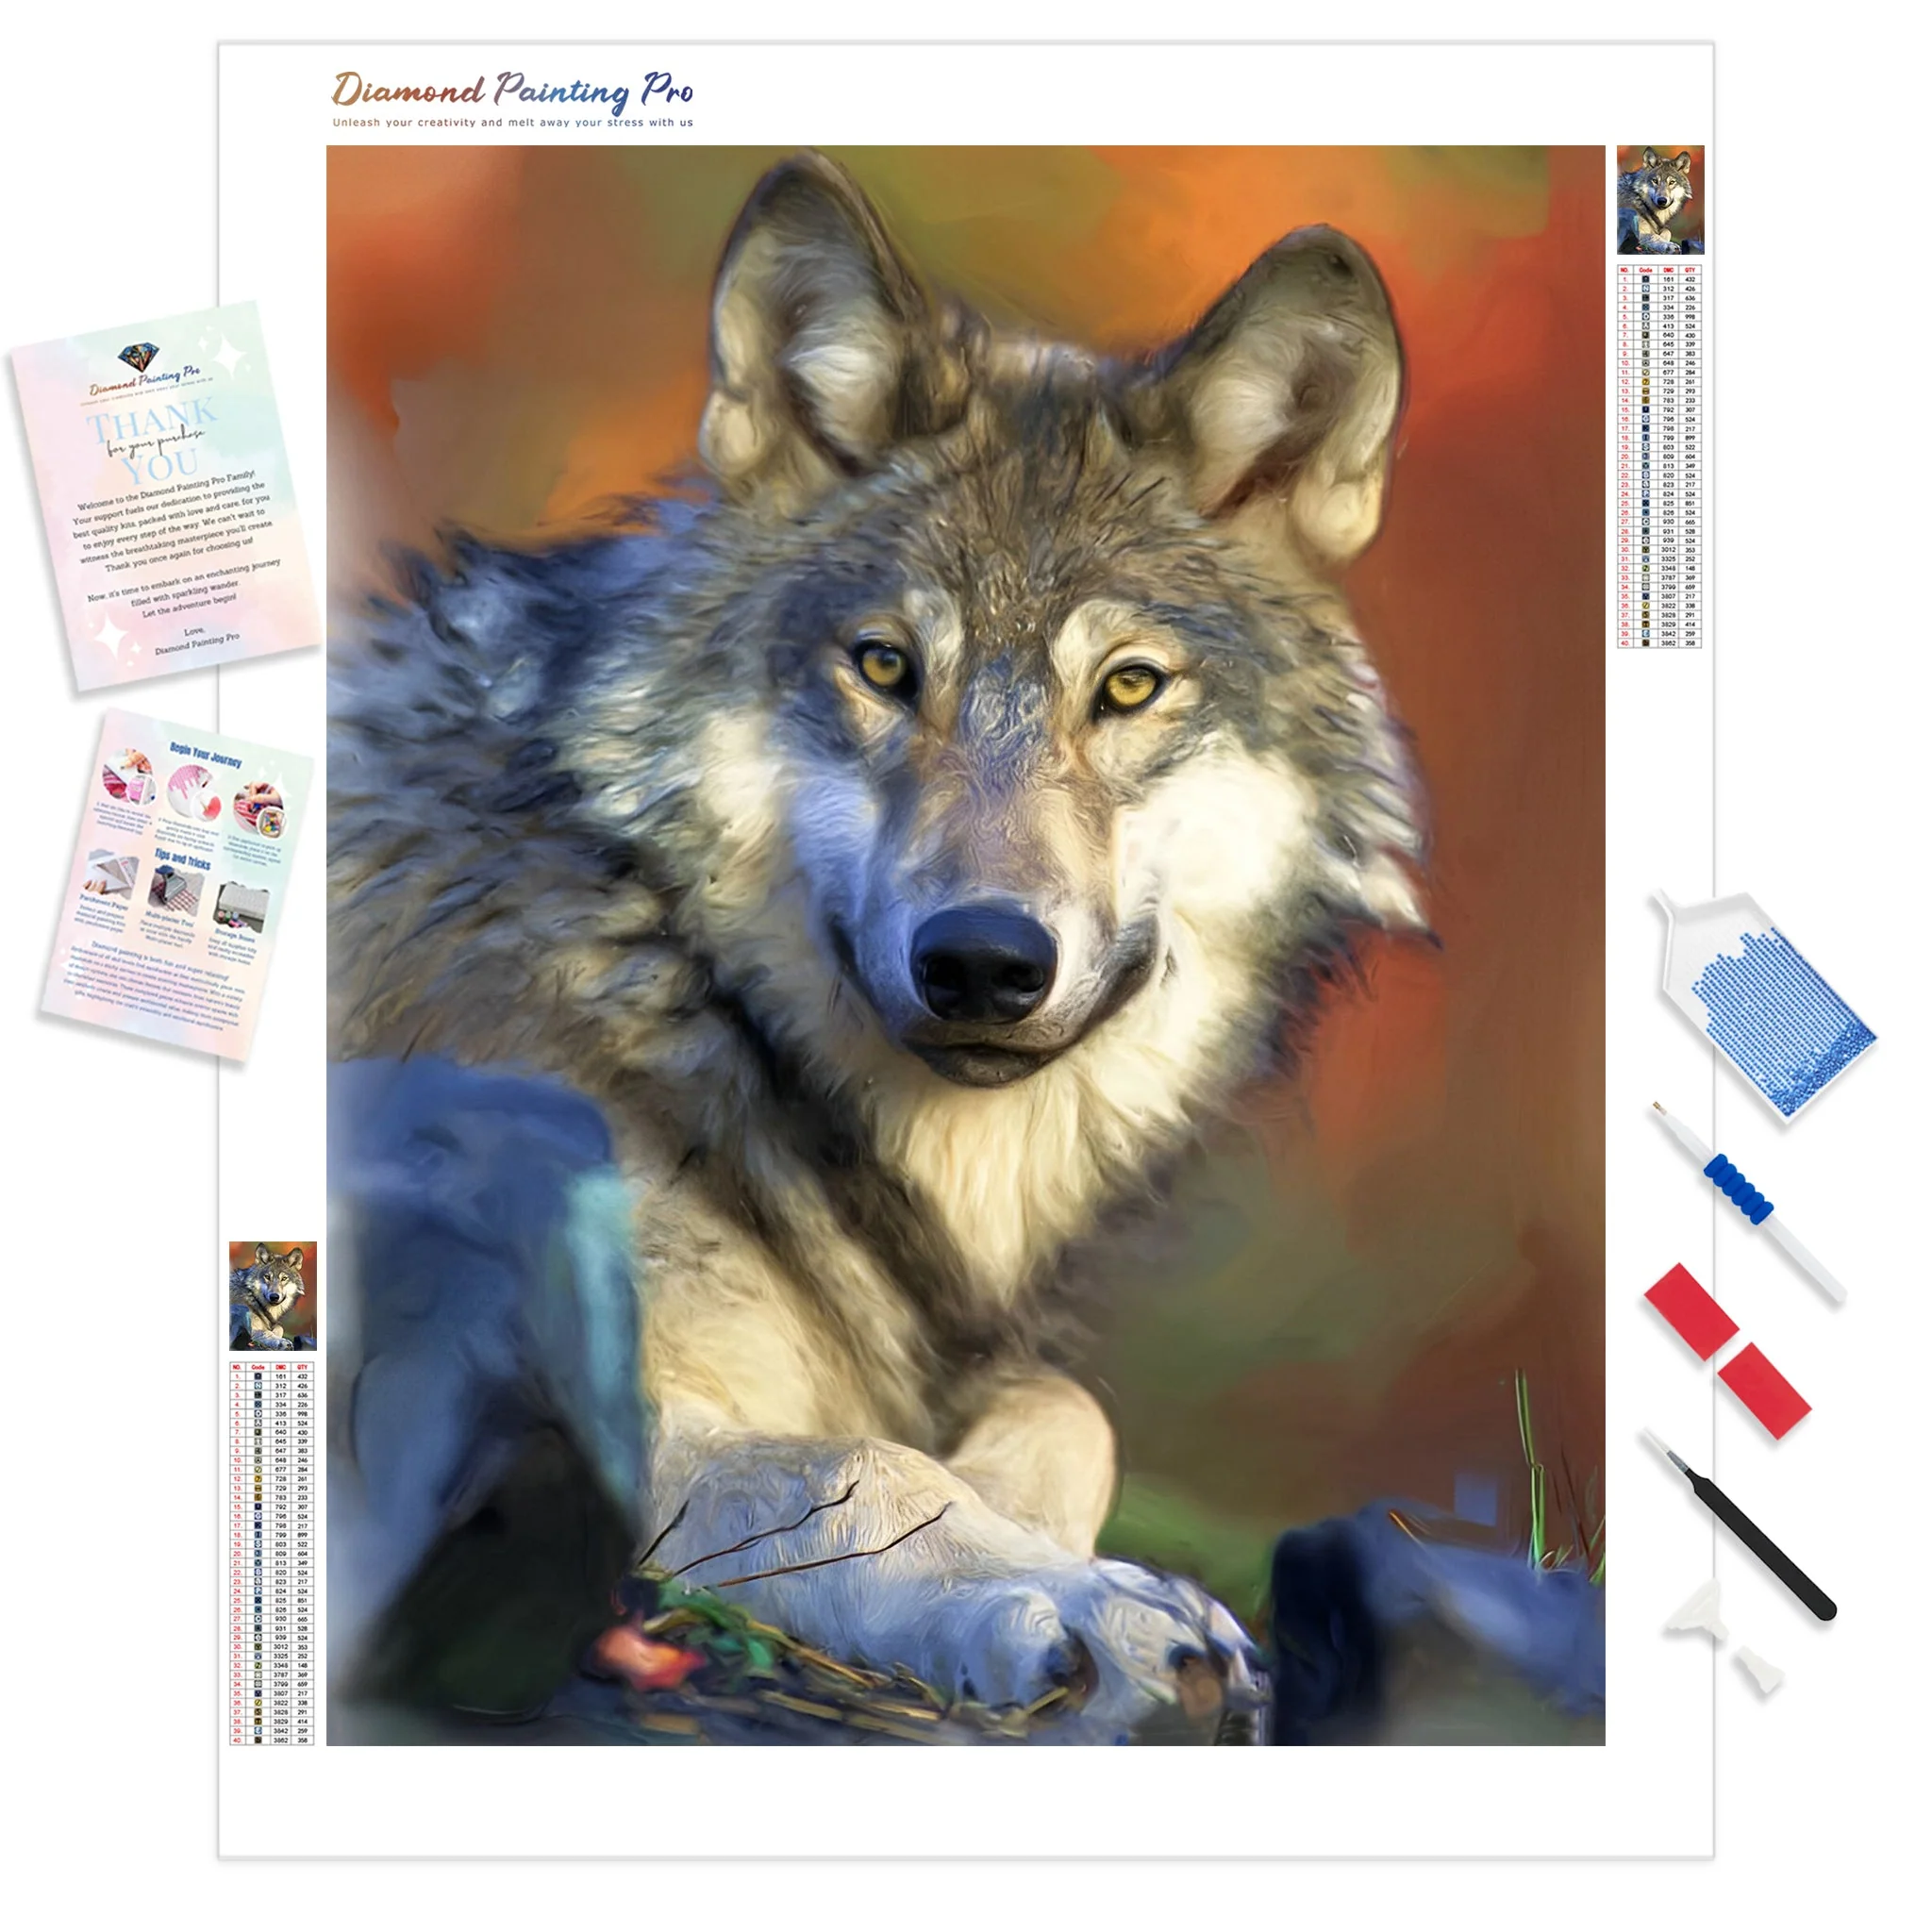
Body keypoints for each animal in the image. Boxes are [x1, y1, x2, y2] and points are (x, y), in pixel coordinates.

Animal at [330, 152, 1424, 1738]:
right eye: (886, 666)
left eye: (1129, 688)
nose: (983, 962)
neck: (678, 985)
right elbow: (863, 1466)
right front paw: (1087, 1607)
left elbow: (1065, 1413)